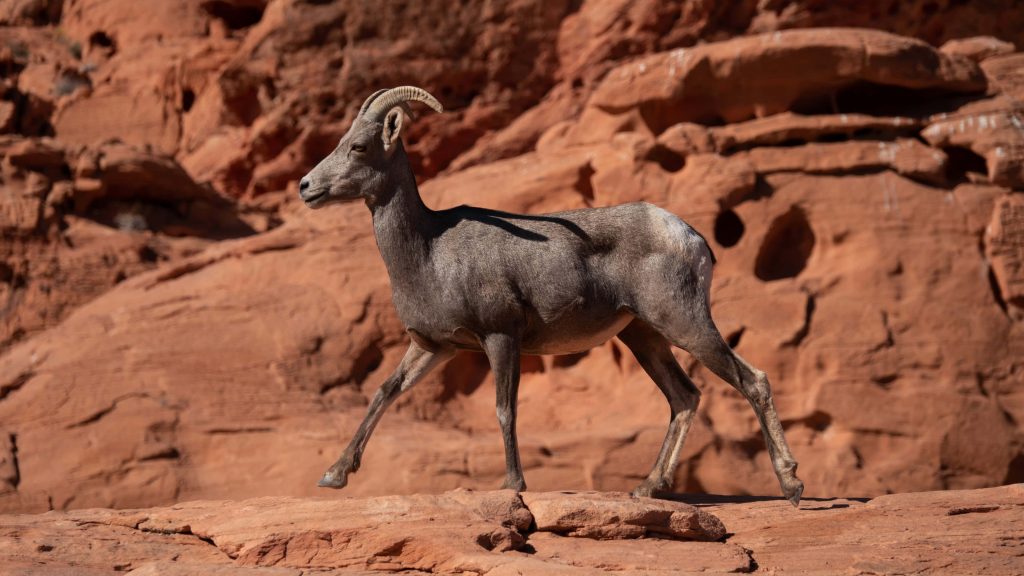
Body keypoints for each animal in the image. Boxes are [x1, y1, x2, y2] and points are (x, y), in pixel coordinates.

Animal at [299, 86, 804, 506]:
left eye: (359, 146)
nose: (306, 187)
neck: (429, 251)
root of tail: (691, 236)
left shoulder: (500, 338)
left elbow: (504, 409)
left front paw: (513, 484)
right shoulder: (435, 347)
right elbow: (384, 392)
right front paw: (333, 475)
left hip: (684, 323)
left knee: (752, 381)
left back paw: (791, 485)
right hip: (643, 336)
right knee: (684, 398)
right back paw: (648, 488)